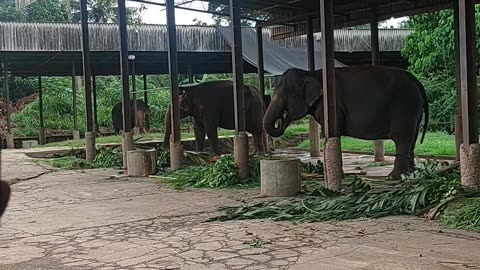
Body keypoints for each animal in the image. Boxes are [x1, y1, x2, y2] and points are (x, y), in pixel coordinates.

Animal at [264, 65, 430, 180]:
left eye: (284, 95)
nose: (282, 118)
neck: (311, 73)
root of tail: (417, 82)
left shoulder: (332, 107)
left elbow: (333, 132)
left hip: (404, 107)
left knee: (402, 139)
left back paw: (393, 177)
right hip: (413, 111)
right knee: (412, 140)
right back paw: (412, 174)